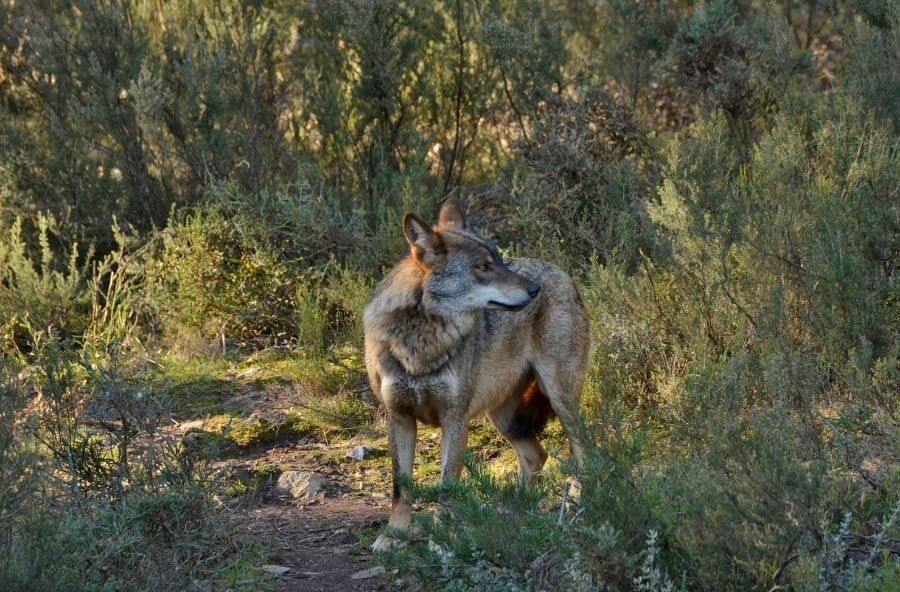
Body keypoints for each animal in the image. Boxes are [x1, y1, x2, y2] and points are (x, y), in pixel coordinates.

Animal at [363, 199, 590, 552]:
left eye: (499, 261)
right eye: (483, 267)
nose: (534, 289)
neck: (421, 341)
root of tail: (563, 272)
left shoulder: (455, 419)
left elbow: (446, 487)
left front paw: (441, 540)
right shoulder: (399, 418)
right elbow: (401, 488)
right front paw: (393, 536)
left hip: (559, 398)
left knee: (582, 451)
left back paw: (579, 503)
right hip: (502, 416)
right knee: (537, 455)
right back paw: (511, 513)